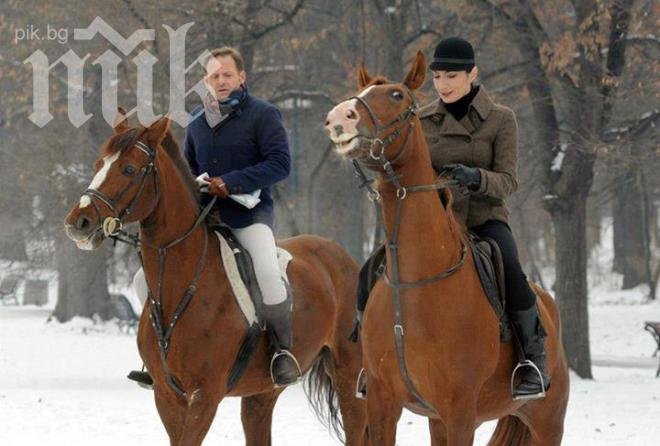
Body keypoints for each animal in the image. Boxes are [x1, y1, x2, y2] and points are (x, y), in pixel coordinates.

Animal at [63, 113, 368, 444]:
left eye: (129, 169)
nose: (78, 223)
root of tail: (343, 257)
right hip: (262, 392)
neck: (184, 284)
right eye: (98, 164)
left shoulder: (205, 395)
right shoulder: (167, 396)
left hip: (348, 373)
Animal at [324, 50, 568, 444]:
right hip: (437, 420)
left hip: (548, 421)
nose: (337, 118)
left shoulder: (460, 411)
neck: (417, 283)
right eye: (360, 91)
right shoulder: (383, 404)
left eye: (397, 95)